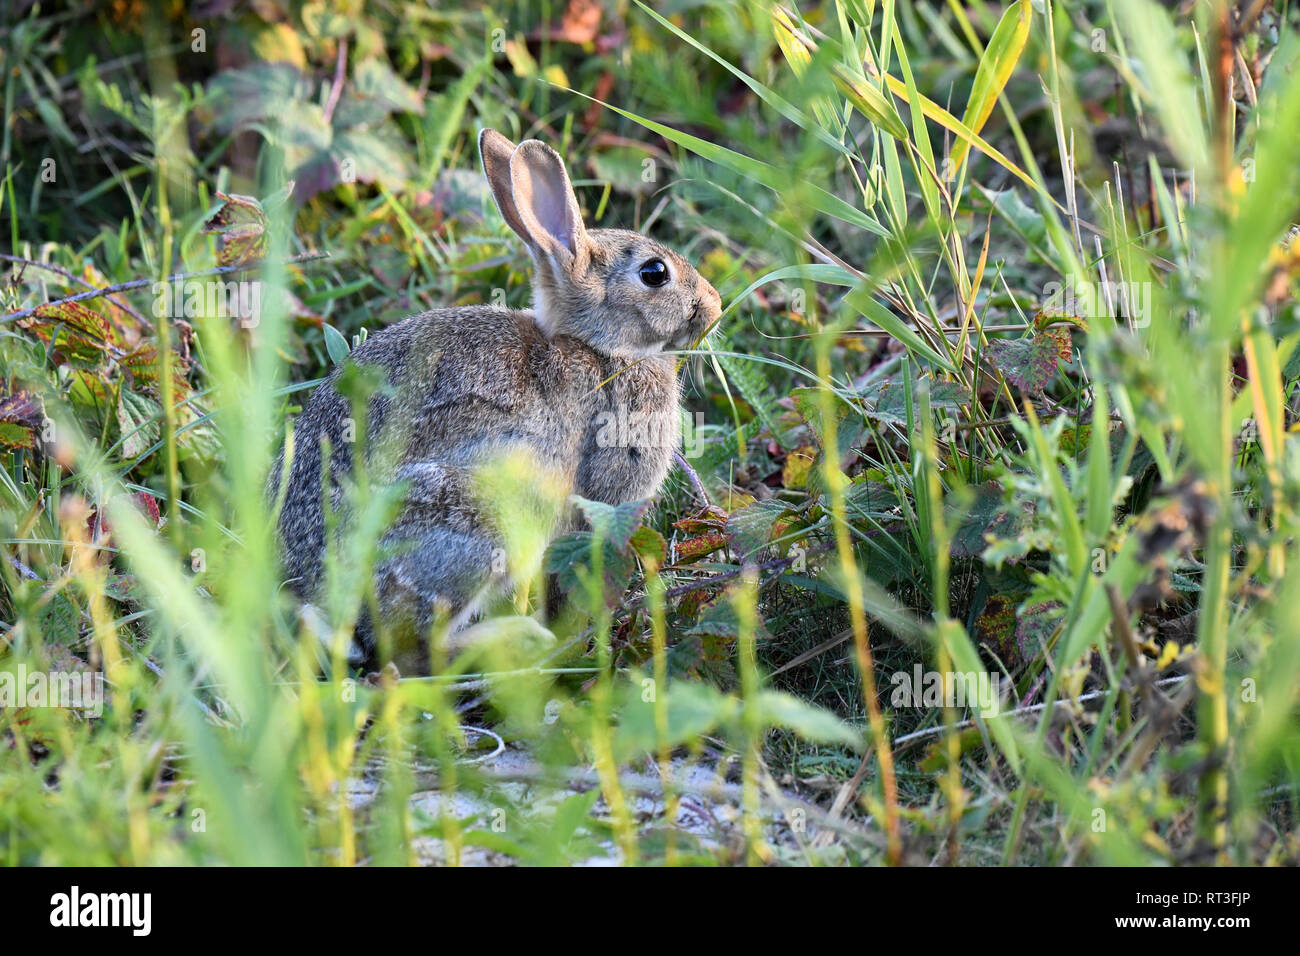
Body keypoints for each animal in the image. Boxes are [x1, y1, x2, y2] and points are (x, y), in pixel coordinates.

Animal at [268, 128, 722, 671]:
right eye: (655, 273)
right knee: (414, 654)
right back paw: (522, 642)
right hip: (472, 521)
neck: (600, 349)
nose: (715, 305)